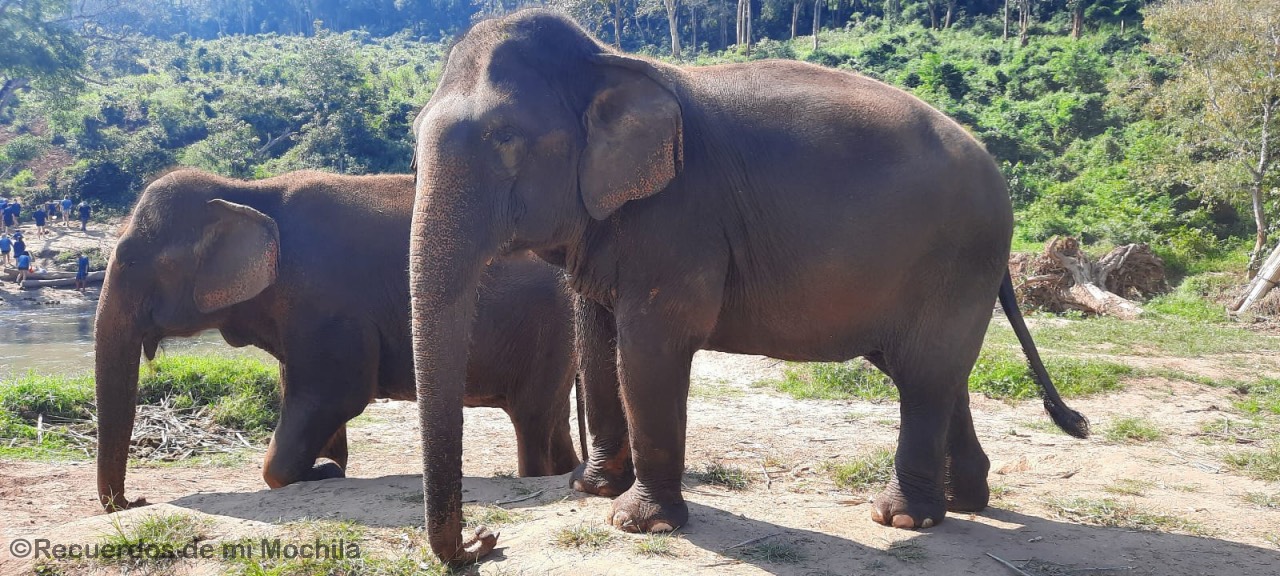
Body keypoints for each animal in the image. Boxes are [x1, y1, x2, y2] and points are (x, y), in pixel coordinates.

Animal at [94, 168, 582, 511]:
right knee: (552, 418)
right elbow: (311, 396)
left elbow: (336, 394)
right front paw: (330, 467)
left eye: (129, 258)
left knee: (531, 419)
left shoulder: (328, 304)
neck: (246, 191)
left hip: (548, 331)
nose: (136, 500)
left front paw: (321, 471)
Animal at [407, 10, 1088, 563]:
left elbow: (648, 349)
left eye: (504, 140)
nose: (486, 540)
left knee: (924, 374)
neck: (603, 60)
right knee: (936, 371)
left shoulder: (679, 219)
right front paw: (590, 488)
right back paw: (965, 500)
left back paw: (900, 518)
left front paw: (639, 523)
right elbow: (596, 341)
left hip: (956, 259)